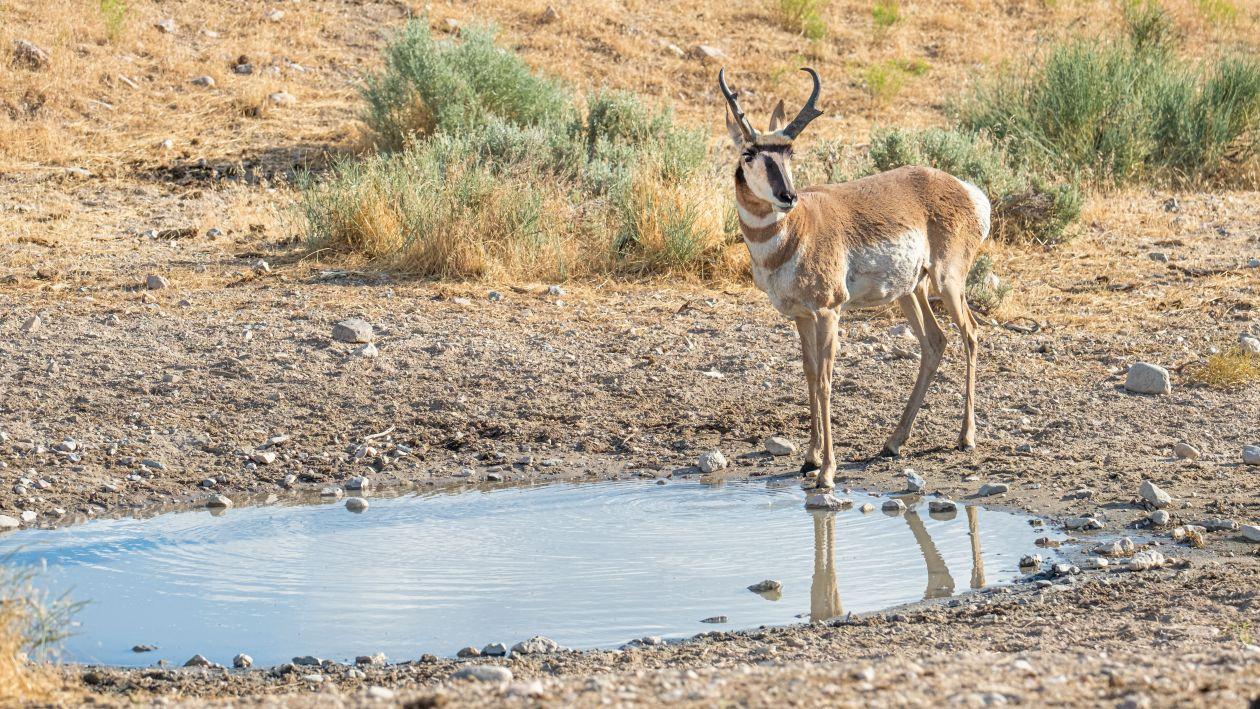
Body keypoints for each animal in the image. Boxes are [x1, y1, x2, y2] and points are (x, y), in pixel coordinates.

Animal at [719, 67, 991, 490]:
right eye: (750, 152)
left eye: (790, 151)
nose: (788, 196)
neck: (797, 230)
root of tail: (965, 189)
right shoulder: (801, 316)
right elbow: (810, 374)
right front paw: (810, 458)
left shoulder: (829, 311)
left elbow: (827, 380)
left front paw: (827, 471)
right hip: (911, 291)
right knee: (935, 341)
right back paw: (893, 442)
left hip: (948, 282)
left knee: (971, 334)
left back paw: (966, 437)